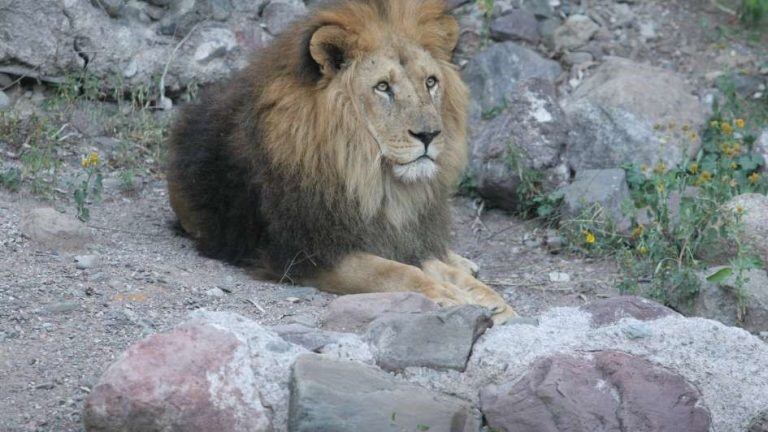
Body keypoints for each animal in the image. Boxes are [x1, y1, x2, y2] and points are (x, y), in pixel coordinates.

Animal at [167, 0, 516, 322]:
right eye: (383, 87)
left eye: (430, 82)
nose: (429, 134)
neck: (371, 177)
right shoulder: (305, 252)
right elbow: (393, 271)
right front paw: (449, 296)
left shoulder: (395, 234)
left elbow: (431, 264)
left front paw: (488, 298)